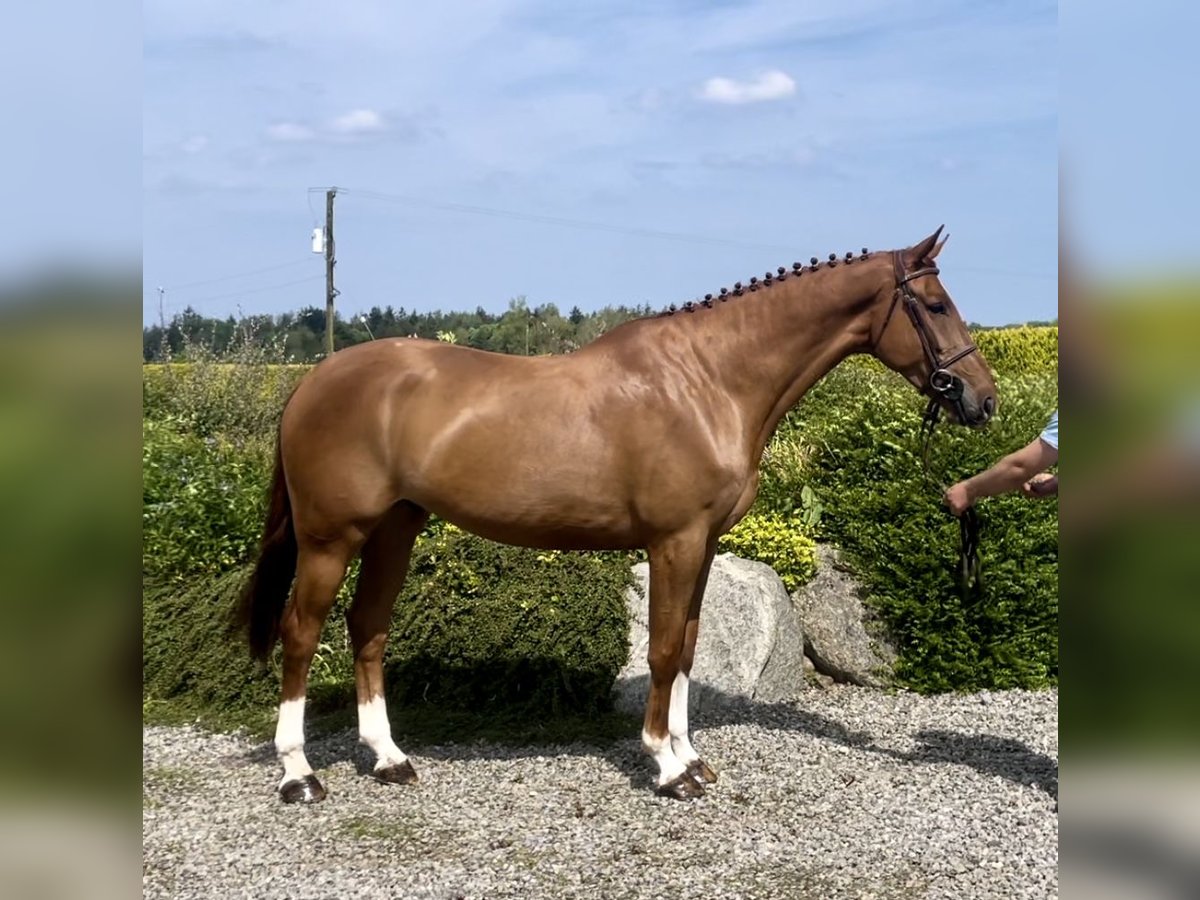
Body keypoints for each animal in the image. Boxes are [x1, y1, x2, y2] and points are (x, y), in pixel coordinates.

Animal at [234, 225, 993, 801]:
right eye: (935, 304)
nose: (982, 399)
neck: (708, 381)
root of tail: (314, 381)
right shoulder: (673, 542)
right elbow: (661, 649)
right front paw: (666, 767)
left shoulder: (703, 544)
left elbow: (686, 646)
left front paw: (690, 758)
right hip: (331, 538)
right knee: (301, 633)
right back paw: (300, 775)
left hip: (395, 527)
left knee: (368, 628)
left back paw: (389, 759)